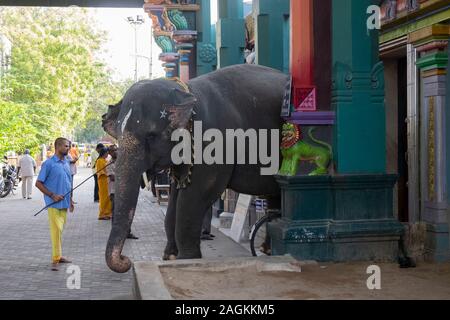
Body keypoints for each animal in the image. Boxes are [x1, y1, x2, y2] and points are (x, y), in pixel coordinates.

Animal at [101, 64, 288, 272]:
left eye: (151, 136)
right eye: (117, 135)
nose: (126, 260)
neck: (186, 91)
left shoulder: (213, 142)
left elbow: (194, 196)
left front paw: (186, 259)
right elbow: (175, 197)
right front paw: (170, 256)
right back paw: (268, 250)